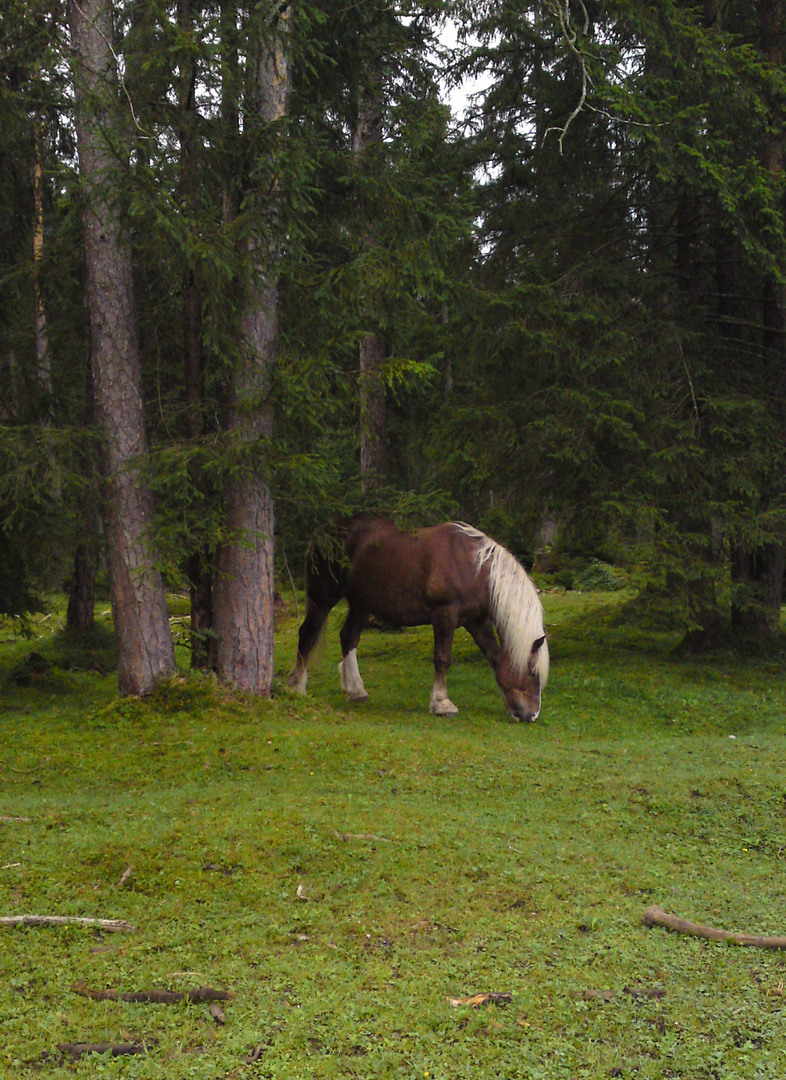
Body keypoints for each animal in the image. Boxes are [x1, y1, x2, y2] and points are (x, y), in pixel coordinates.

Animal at [285, 518, 550, 721]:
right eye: (533, 672)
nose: (532, 715)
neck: (473, 567)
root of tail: (324, 533)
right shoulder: (445, 615)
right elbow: (442, 659)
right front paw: (442, 703)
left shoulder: (477, 622)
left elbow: (494, 658)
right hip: (322, 597)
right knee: (307, 634)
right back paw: (297, 687)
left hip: (361, 604)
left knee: (348, 637)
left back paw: (356, 690)